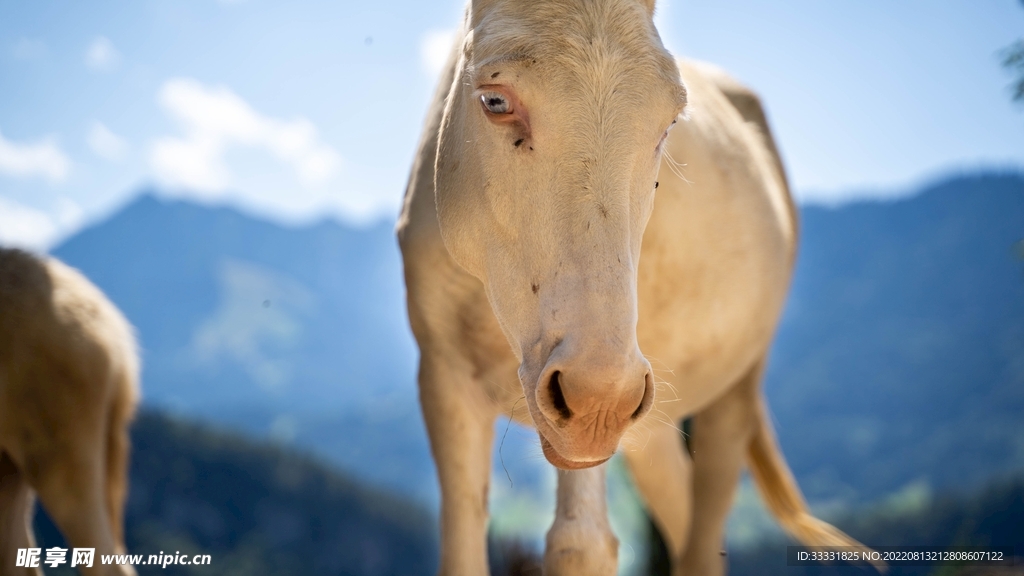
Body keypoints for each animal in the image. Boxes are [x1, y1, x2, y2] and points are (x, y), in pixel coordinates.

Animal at [397, 1, 868, 573]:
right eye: (494, 101)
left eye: (670, 122)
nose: (600, 407)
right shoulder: (445, 379)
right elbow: (462, 539)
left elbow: (580, 544)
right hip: (647, 426)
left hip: (727, 393)